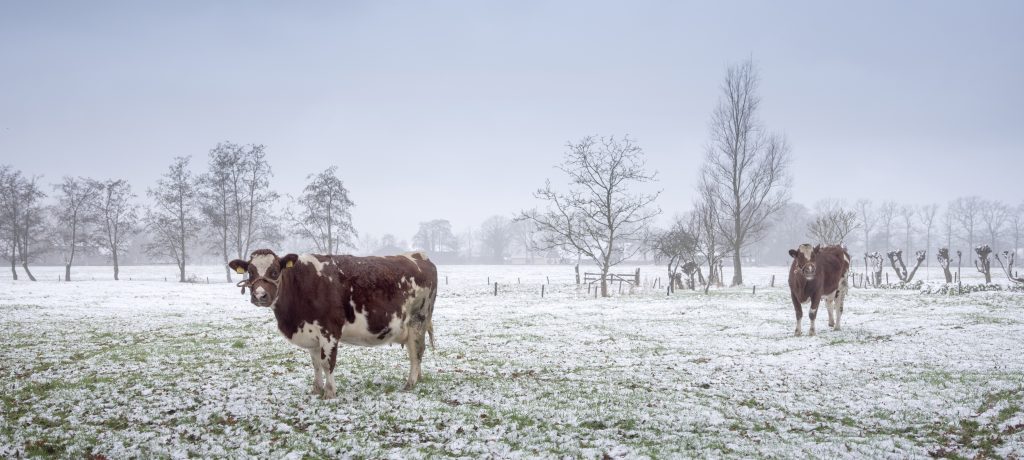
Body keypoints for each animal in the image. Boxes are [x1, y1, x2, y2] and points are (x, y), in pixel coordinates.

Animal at [228, 249, 437, 397]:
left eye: (274, 271)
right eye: (250, 272)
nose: (259, 296)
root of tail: (417, 255)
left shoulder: (329, 331)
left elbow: (327, 363)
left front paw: (329, 392)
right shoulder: (311, 334)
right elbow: (315, 364)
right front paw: (316, 389)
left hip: (417, 321)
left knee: (416, 353)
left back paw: (410, 383)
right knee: (417, 352)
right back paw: (419, 378)